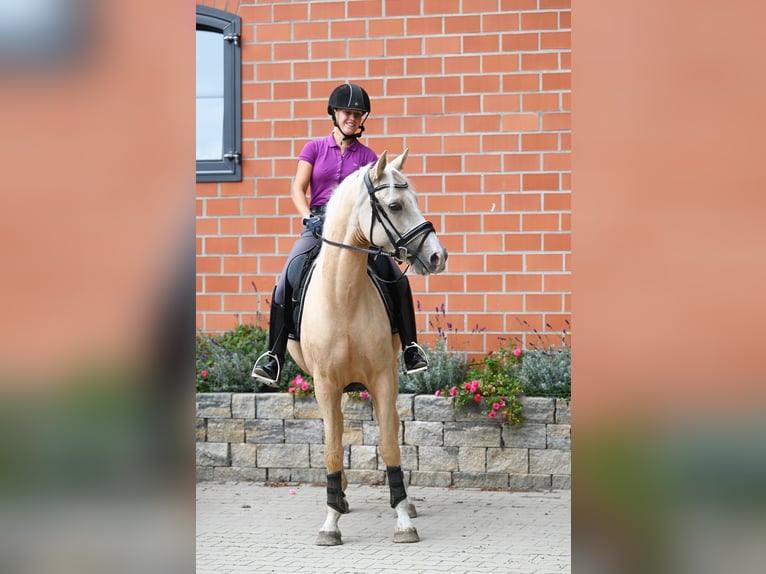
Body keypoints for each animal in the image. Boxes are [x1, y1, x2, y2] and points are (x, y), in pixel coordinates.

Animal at [286, 148, 450, 544]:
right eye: (394, 205)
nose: (438, 257)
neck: (342, 294)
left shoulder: (382, 378)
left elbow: (390, 444)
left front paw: (403, 519)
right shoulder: (325, 383)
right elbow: (331, 448)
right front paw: (330, 522)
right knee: (337, 431)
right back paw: (341, 498)